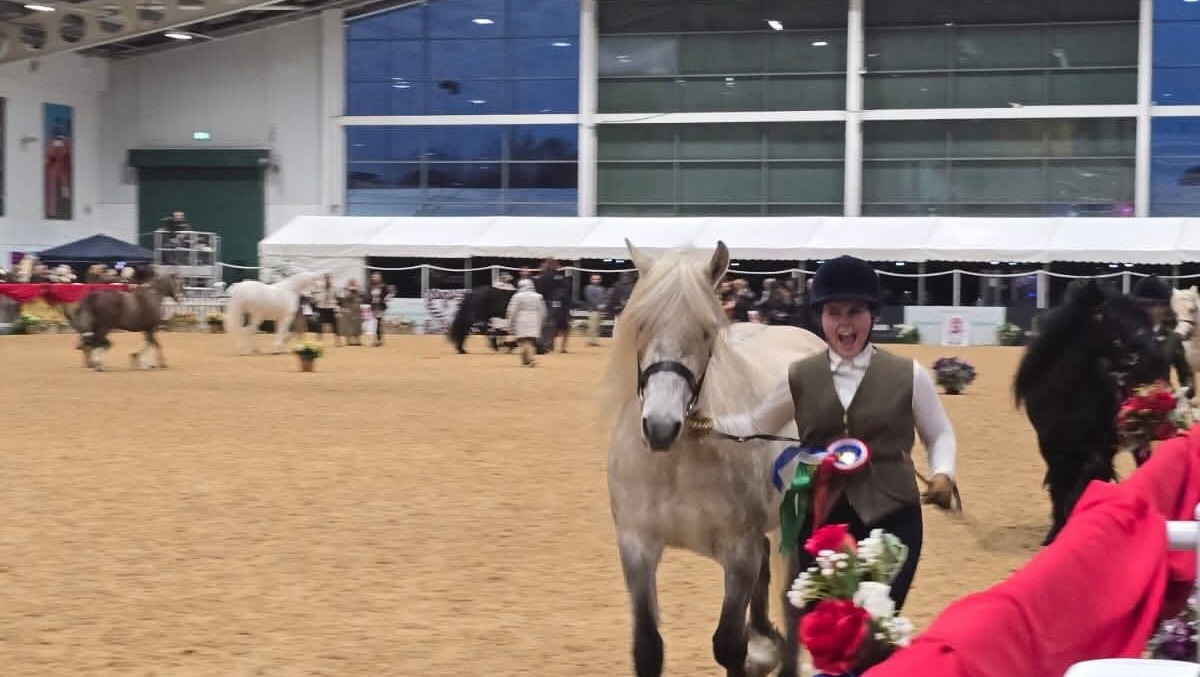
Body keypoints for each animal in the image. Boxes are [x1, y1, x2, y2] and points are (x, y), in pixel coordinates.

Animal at [603, 239, 827, 677]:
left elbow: (728, 645)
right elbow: (648, 649)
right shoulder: (636, 547)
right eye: (641, 325)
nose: (660, 427)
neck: (678, 463)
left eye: (706, 332)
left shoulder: (738, 551)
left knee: (790, 600)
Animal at [1014, 278, 1168, 545]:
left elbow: (1081, 490)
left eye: (1145, 317)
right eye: (1115, 317)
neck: (1066, 394)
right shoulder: (1051, 447)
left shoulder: (1099, 449)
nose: (1156, 357)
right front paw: (1054, 534)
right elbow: (1058, 489)